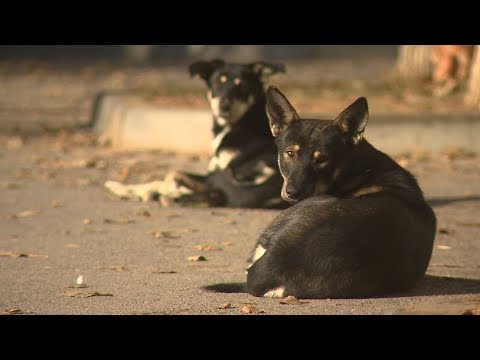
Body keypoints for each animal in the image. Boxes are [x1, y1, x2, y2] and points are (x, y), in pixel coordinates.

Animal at [105, 60, 288, 210]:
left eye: (241, 85)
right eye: (218, 82)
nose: (224, 106)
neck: (240, 122)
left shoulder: (218, 175)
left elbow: (172, 175)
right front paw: (124, 188)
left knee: (210, 193)